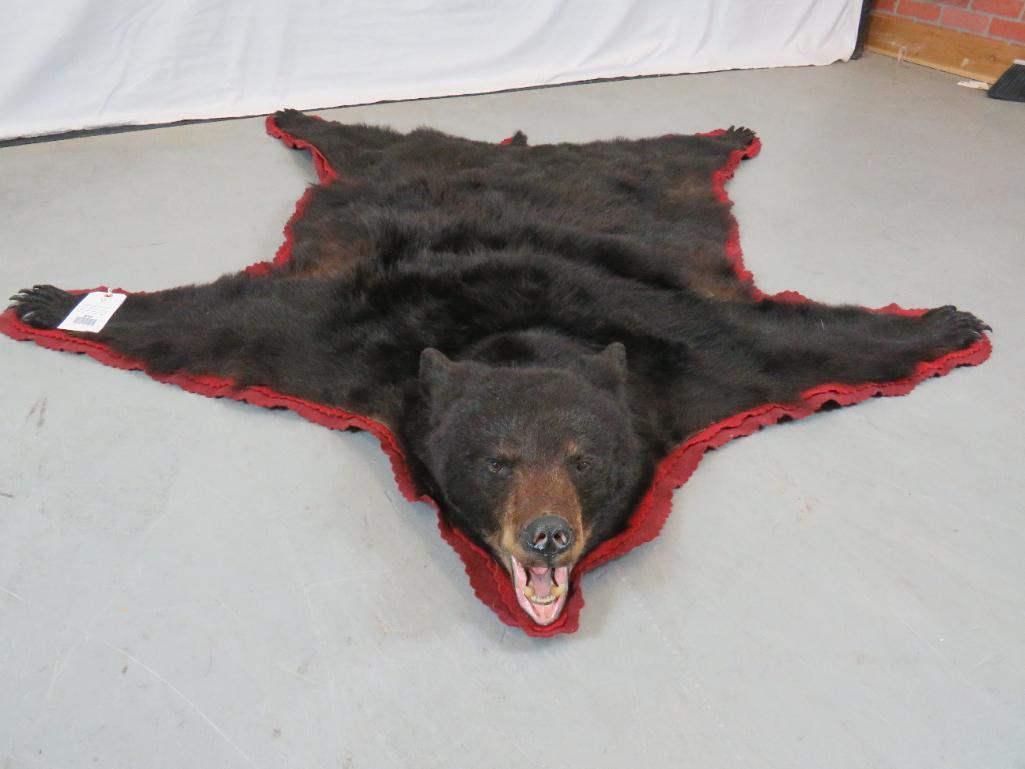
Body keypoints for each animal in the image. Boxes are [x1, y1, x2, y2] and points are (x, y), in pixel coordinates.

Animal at [7, 109, 990, 628]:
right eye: (495, 460)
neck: (519, 332)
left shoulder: (689, 357)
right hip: (394, 164)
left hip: (645, 180)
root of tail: (505, 146)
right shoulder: (342, 346)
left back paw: (726, 129)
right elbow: (222, 322)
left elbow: (792, 342)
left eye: (583, 457)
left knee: (666, 153)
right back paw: (301, 116)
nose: (546, 535)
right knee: (370, 137)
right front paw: (53, 301)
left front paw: (947, 322)